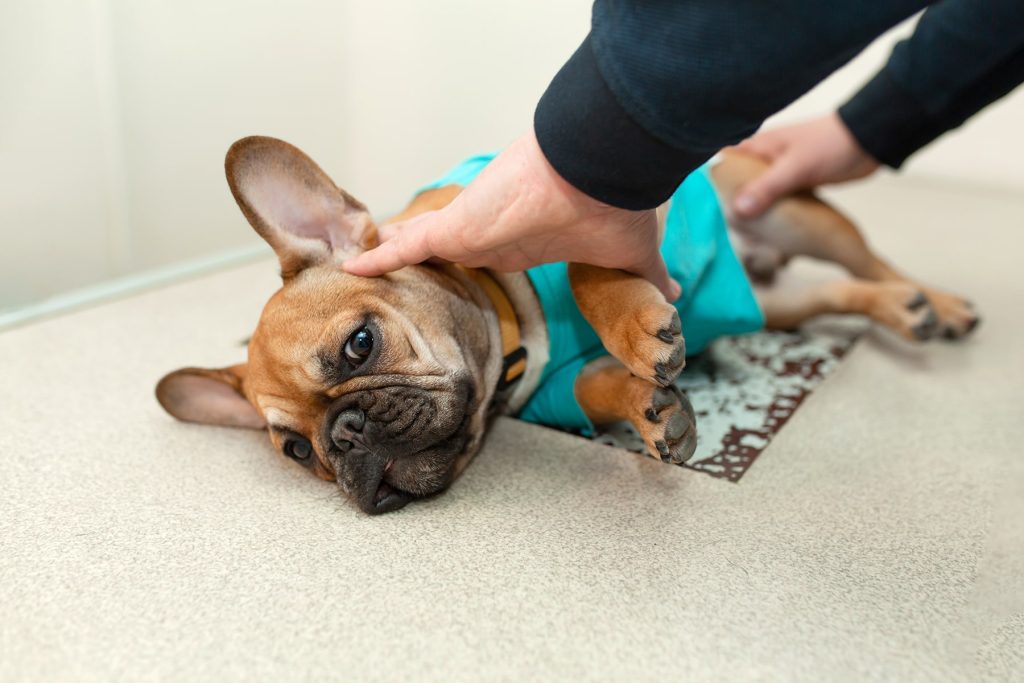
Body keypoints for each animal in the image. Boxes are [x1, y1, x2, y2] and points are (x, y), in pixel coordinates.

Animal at [155, 137, 978, 511]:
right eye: (297, 452)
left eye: (361, 343)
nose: (345, 436)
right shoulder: (557, 393)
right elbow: (600, 390)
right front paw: (653, 413)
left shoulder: (587, 216)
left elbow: (588, 264)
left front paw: (636, 328)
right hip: (771, 302)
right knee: (840, 291)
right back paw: (904, 310)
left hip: (794, 212)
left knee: (871, 257)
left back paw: (937, 301)